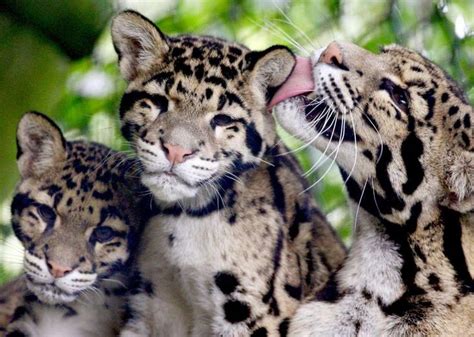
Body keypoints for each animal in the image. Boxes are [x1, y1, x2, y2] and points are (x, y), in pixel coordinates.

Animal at [111, 10, 346, 336]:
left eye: (222, 120)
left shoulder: (254, 313)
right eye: (158, 102)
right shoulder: (151, 303)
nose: (175, 151)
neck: (185, 217)